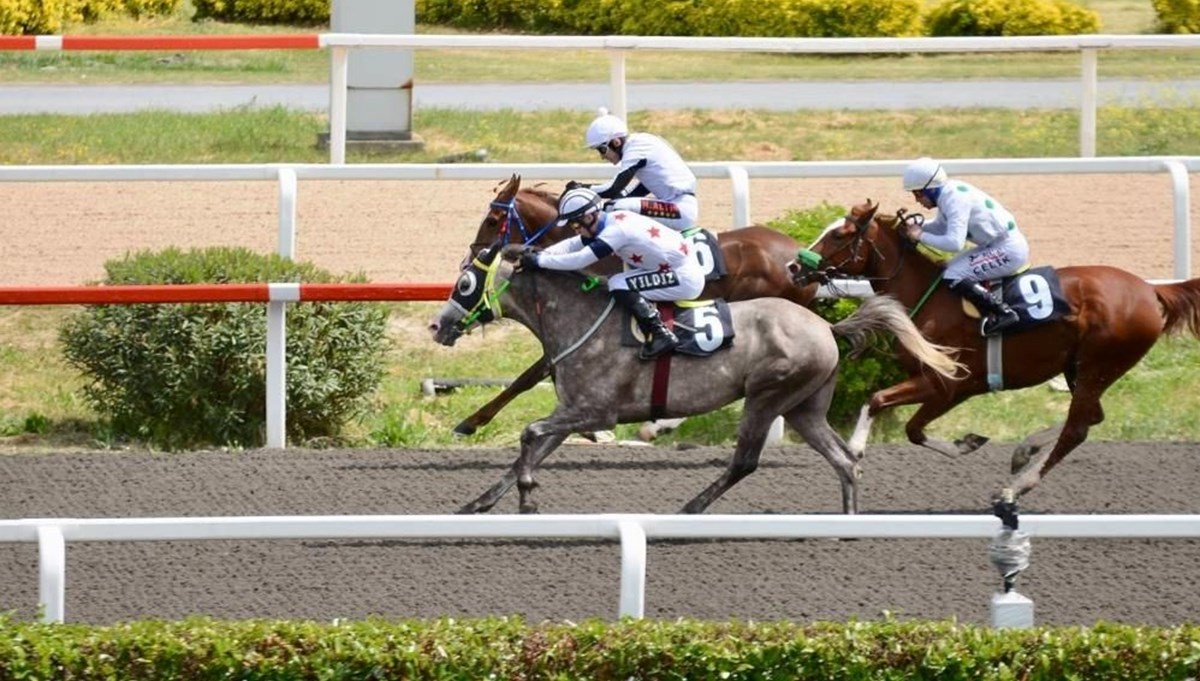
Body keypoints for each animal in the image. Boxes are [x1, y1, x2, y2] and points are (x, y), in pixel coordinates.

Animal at [427, 242, 960, 513]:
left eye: (466, 283)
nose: (437, 325)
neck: (582, 318)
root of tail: (826, 327)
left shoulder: (595, 412)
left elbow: (528, 434)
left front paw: (527, 498)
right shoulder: (574, 410)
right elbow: (532, 447)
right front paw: (478, 504)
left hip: (767, 397)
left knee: (745, 462)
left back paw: (688, 509)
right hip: (804, 408)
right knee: (846, 462)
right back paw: (846, 522)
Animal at [792, 199, 1200, 496]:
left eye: (841, 234)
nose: (795, 267)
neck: (930, 299)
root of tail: (1150, 290)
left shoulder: (947, 384)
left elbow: (883, 405)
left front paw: (855, 451)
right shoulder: (948, 387)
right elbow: (908, 426)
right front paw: (968, 443)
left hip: (1100, 364)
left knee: (1077, 427)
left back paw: (1016, 487)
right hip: (1081, 368)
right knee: (1089, 417)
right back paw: (1025, 452)